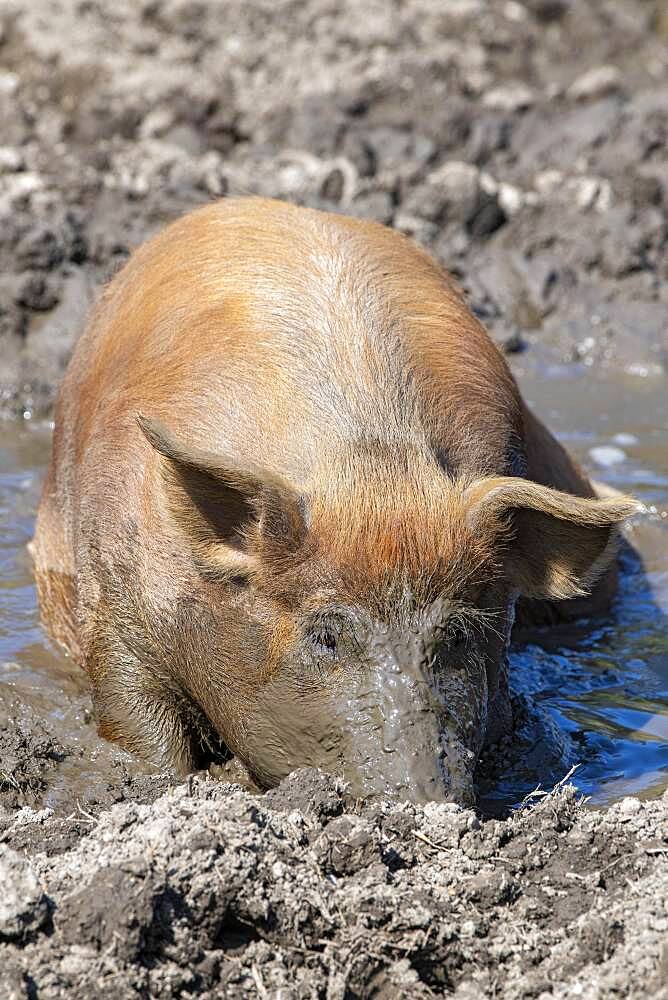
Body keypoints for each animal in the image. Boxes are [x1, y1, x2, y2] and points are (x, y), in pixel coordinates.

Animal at [31, 197, 636, 804]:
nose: (423, 802)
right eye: (325, 635)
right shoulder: (116, 593)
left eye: (457, 634)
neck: (367, 471)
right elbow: (140, 723)